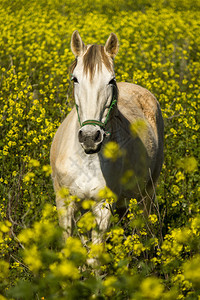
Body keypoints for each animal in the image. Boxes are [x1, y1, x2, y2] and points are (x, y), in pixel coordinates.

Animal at [50, 29, 164, 241]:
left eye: (111, 80)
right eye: (75, 79)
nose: (89, 137)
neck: (86, 160)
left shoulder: (103, 207)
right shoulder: (64, 203)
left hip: (147, 192)